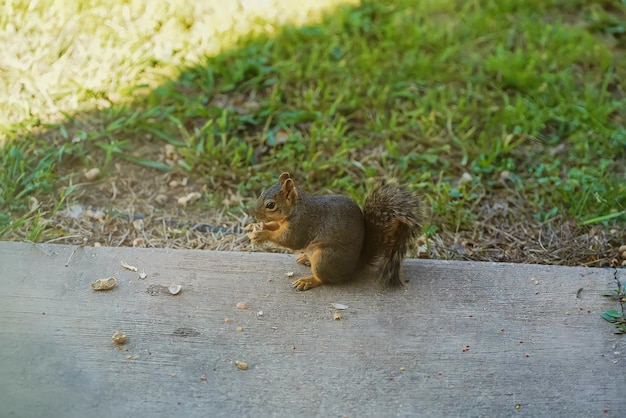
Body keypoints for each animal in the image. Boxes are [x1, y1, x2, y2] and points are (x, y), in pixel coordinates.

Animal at [246, 171, 422, 290]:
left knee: (325, 279)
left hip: (325, 259)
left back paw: (308, 280)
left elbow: (290, 241)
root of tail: (354, 267)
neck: (296, 208)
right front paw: (261, 227)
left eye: (270, 205)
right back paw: (306, 258)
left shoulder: (301, 225)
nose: (253, 214)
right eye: (261, 192)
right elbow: (276, 227)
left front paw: (262, 234)